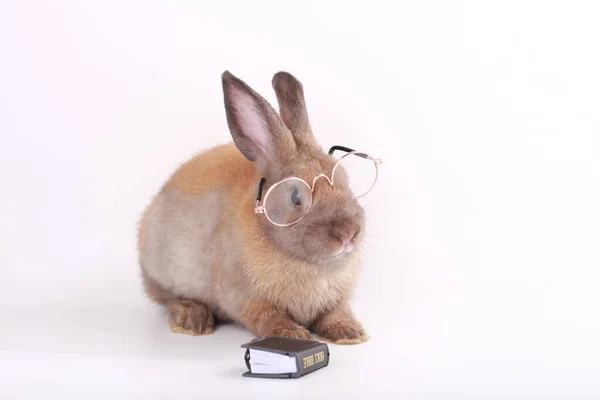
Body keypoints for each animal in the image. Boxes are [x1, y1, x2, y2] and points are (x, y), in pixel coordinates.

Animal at [137, 71, 380, 344]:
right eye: (296, 197)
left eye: (346, 182)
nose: (348, 234)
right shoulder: (246, 299)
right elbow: (267, 316)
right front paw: (292, 334)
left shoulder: (337, 300)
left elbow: (336, 312)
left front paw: (350, 333)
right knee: (167, 297)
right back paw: (192, 320)